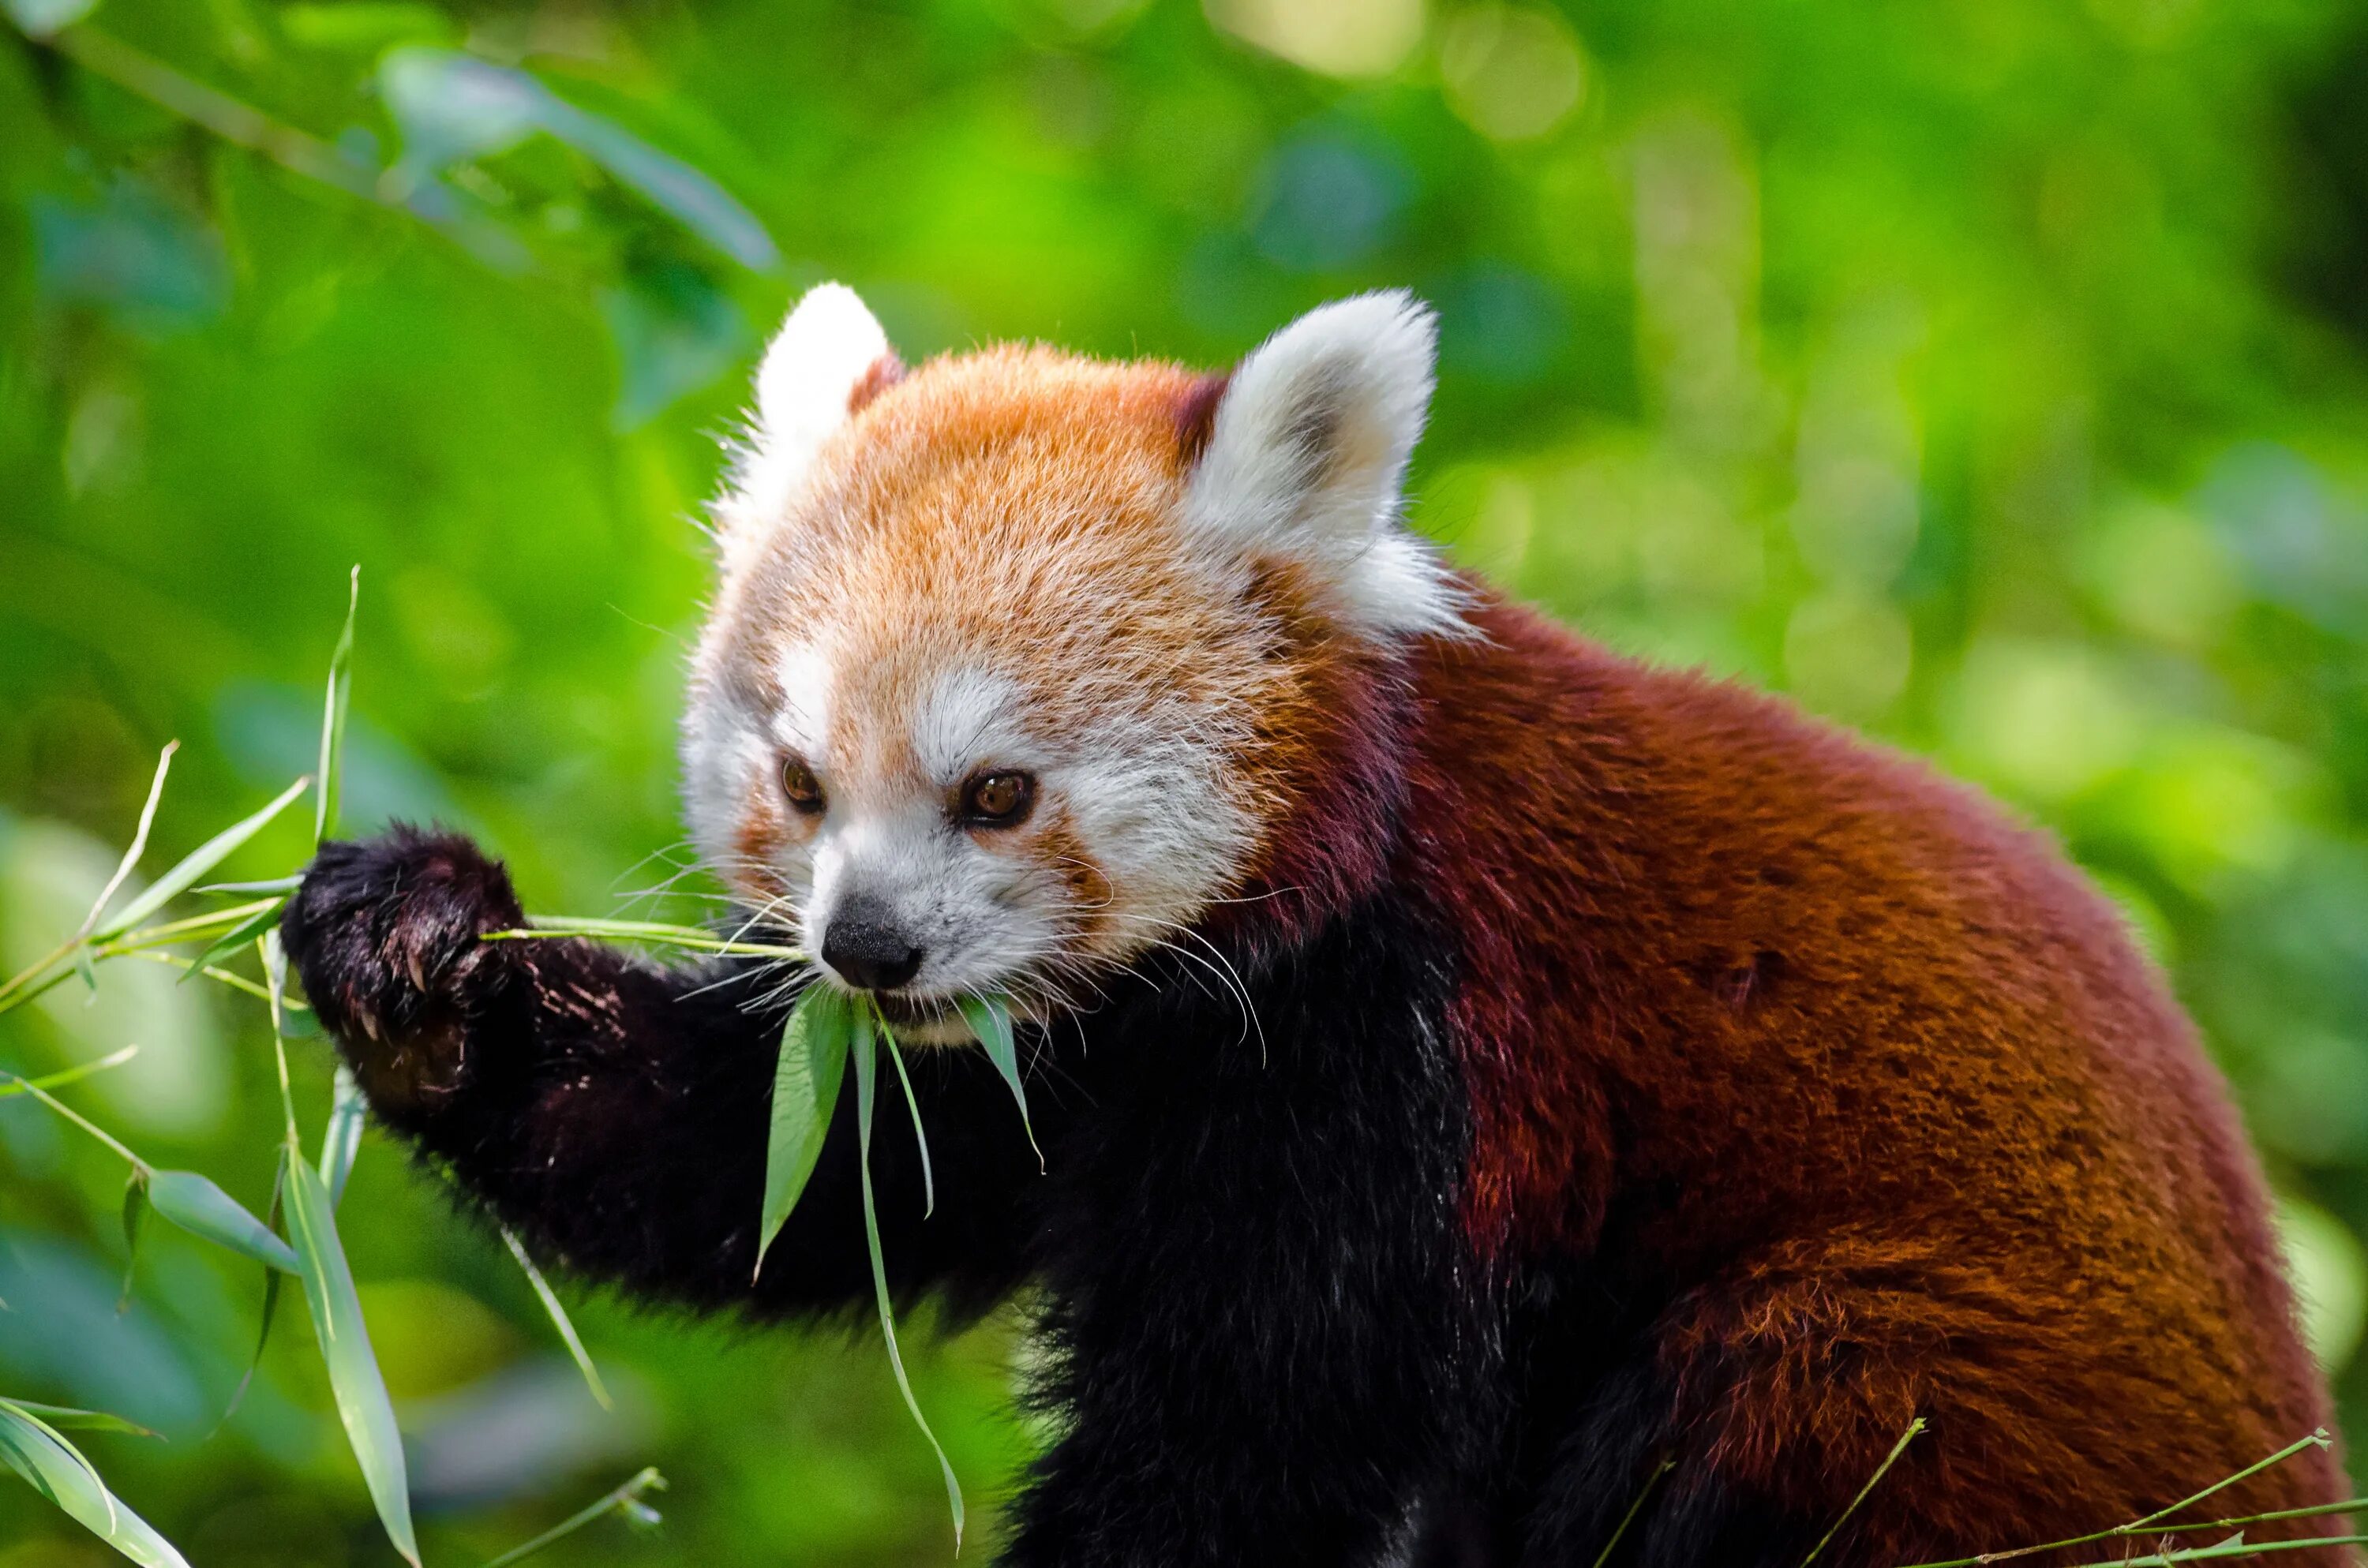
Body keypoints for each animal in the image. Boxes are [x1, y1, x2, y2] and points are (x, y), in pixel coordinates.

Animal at [287, 289, 2340, 1562]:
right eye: (797, 779)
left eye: (998, 791)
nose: (869, 948)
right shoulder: (1065, 1054)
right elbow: (794, 1167)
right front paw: (418, 957)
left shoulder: (1419, 1043)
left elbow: (1256, 1438)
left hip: (1946, 1378)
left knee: (1786, 1381)